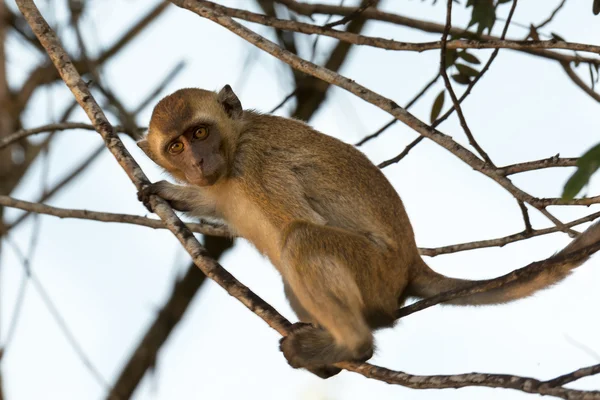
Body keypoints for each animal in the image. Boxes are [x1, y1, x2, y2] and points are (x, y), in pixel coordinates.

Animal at [137, 84, 600, 378]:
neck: (232, 152)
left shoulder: (258, 169)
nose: (197, 162)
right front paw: (169, 192)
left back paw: (351, 345)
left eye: (200, 132)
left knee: (300, 242)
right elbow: (215, 203)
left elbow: (299, 225)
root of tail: (410, 263)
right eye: (176, 146)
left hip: (375, 273)